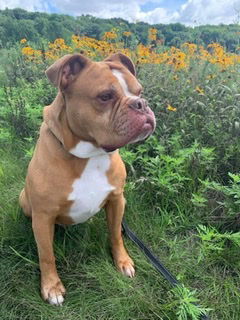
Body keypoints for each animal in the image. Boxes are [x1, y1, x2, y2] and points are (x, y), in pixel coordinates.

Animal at [18, 52, 156, 304]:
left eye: (139, 92)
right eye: (105, 96)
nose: (141, 104)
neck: (91, 155)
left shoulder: (117, 200)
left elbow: (116, 235)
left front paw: (122, 262)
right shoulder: (43, 217)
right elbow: (46, 254)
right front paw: (51, 287)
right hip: (25, 201)